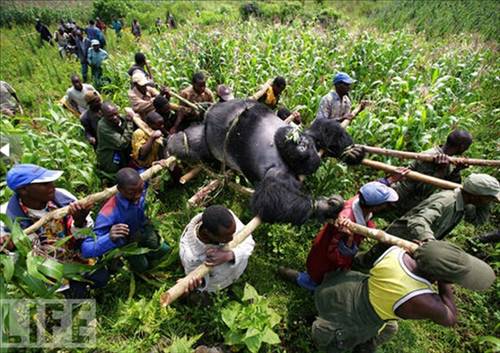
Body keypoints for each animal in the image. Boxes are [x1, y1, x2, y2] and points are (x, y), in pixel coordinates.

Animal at [168, 99, 364, 224]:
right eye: (302, 144)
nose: (298, 143)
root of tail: (209, 114)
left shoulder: (282, 168)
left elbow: (271, 198)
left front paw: (350, 153)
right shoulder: (303, 138)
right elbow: (324, 127)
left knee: (194, 143)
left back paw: (179, 141)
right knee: (193, 140)